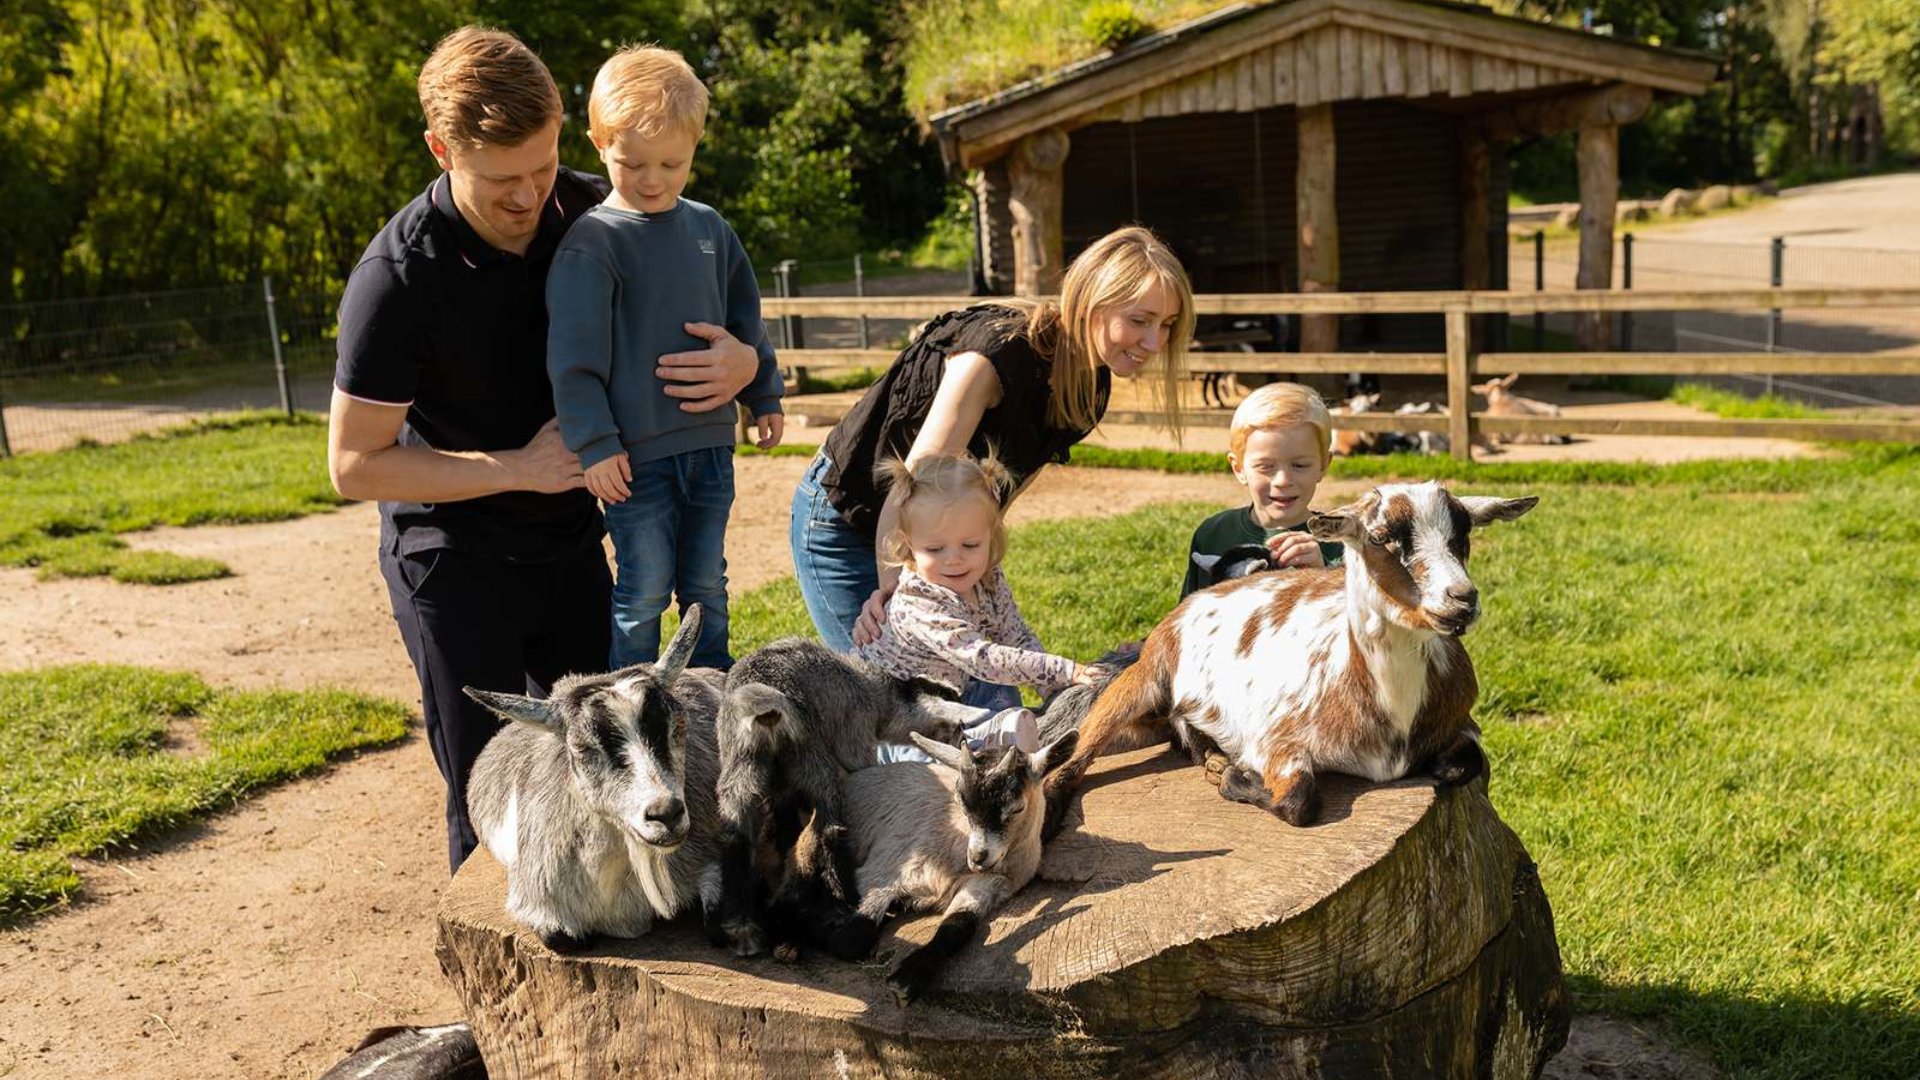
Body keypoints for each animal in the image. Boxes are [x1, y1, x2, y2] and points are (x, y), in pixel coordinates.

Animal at [463, 608, 723, 952]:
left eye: (678, 726)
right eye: (582, 748)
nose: (666, 814)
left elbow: (718, 921)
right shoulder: (535, 899)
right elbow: (561, 939)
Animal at [709, 639, 990, 959]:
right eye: (957, 725)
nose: (967, 747)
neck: (877, 695)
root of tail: (766, 710)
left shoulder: (782, 789)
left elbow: (786, 826)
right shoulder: (855, 741)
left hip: (739, 765)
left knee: (735, 837)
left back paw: (741, 930)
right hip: (813, 758)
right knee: (830, 827)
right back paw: (840, 902)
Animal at [844, 731, 1079, 1003]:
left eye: (1016, 808)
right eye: (962, 804)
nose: (977, 857)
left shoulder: (988, 885)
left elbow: (957, 926)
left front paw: (908, 978)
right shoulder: (883, 872)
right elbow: (854, 936)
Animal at [1042, 483, 1537, 837]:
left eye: (1463, 534)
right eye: (1380, 537)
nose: (1461, 600)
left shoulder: (1463, 724)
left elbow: (1463, 764)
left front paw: (1225, 769)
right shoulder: (1275, 742)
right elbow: (1298, 802)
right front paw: (1235, 778)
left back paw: (1210, 754)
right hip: (1141, 681)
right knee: (1068, 764)